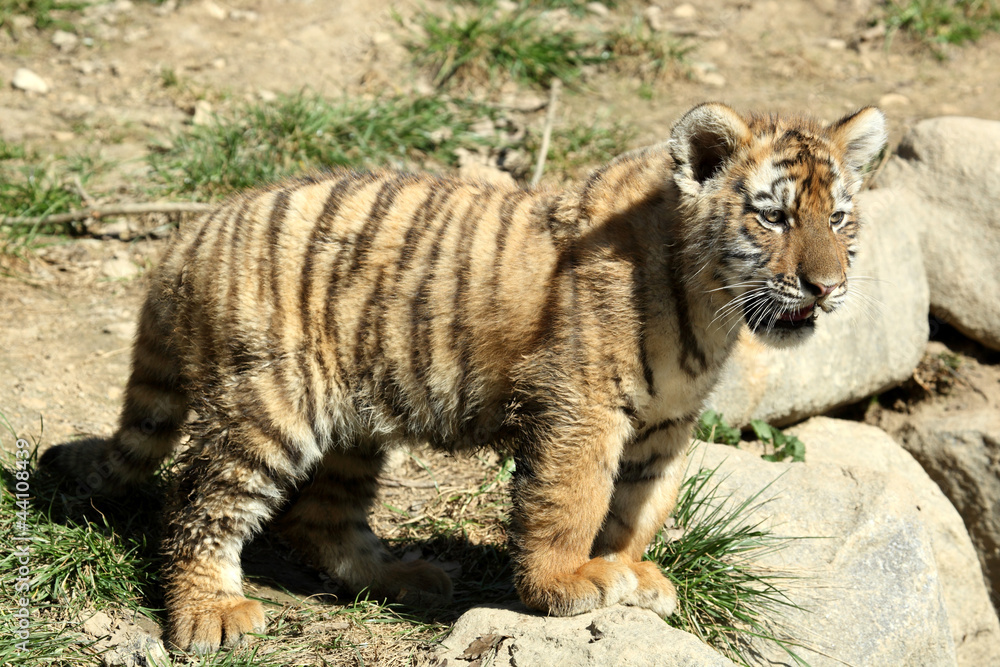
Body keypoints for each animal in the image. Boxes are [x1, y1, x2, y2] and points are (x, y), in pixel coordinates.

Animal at [41, 102, 886, 653]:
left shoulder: (665, 424)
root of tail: (190, 238)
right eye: (774, 217)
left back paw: (404, 575)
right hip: (268, 405)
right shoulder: (582, 408)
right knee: (199, 504)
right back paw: (211, 614)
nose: (826, 287)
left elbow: (639, 507)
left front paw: (629, 571)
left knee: (320, 518)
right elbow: (572, 500)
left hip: (353, 420)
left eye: (840, 218)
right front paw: (565, 583)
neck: (712, 307)